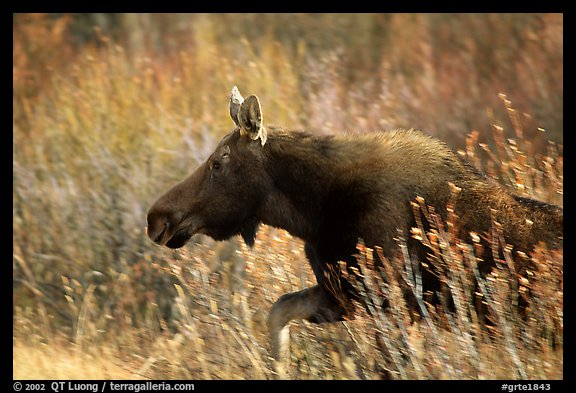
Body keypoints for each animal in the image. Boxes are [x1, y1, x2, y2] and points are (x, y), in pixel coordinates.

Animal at [146, 86, 564, 362]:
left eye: (218, 163)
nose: (157, 218)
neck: (311, 214)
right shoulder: (343, 292)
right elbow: (278, 310)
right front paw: (279, 363)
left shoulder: (390, 299)